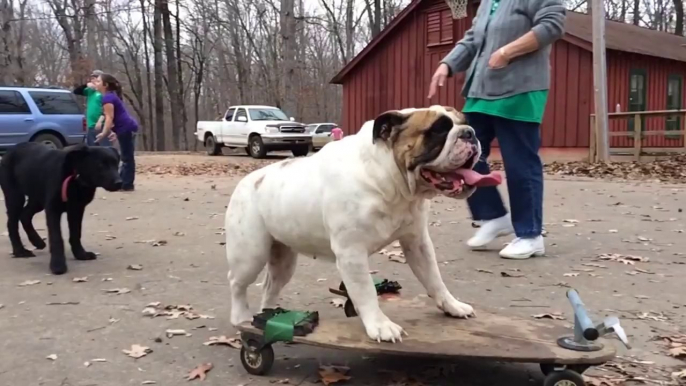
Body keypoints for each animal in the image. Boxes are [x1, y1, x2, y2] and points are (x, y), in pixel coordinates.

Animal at [0, 142, 122, 274]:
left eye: (116, 164)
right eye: (100, 165)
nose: (119, 183)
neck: (75, 176)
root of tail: (13, 148)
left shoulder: (77, 209)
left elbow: (76, 233)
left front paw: (81, 254)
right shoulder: (53, 209)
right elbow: (56, 238)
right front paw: (57, 265)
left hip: (37, 199)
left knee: (25, 215)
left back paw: (37, 241)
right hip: (15, 196)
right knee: (12, 223)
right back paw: (20, 251)